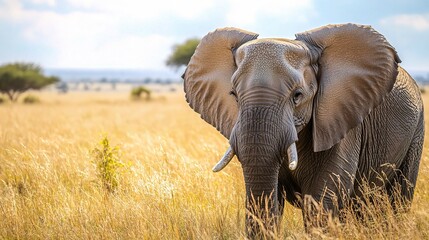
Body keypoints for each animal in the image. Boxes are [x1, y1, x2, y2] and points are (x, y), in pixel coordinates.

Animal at [181, 23, 424, 236]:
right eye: (233, 95)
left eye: (297, 95)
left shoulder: (342, 121)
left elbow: (324, 199)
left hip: (417, 129)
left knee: (397, 197)